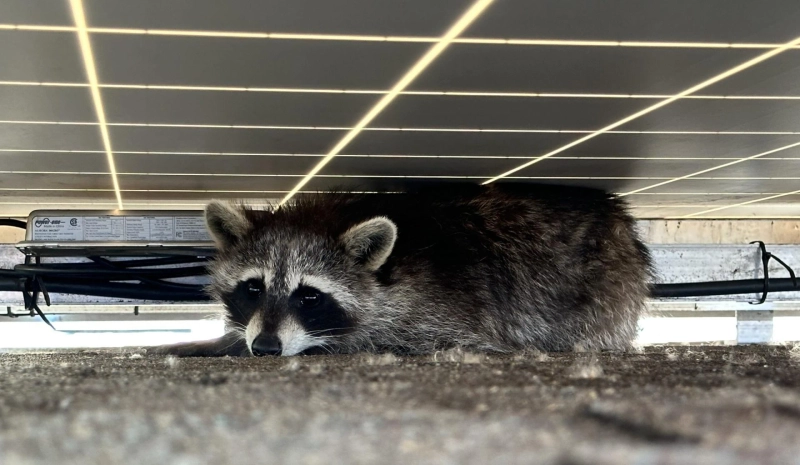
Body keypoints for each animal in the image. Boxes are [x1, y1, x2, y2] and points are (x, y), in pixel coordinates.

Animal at [152, 183, 653, 357]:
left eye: (309, 296)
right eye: (253, 288)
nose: (267, 347)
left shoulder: (434, 313)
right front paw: (221, 341)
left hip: (606, 293)